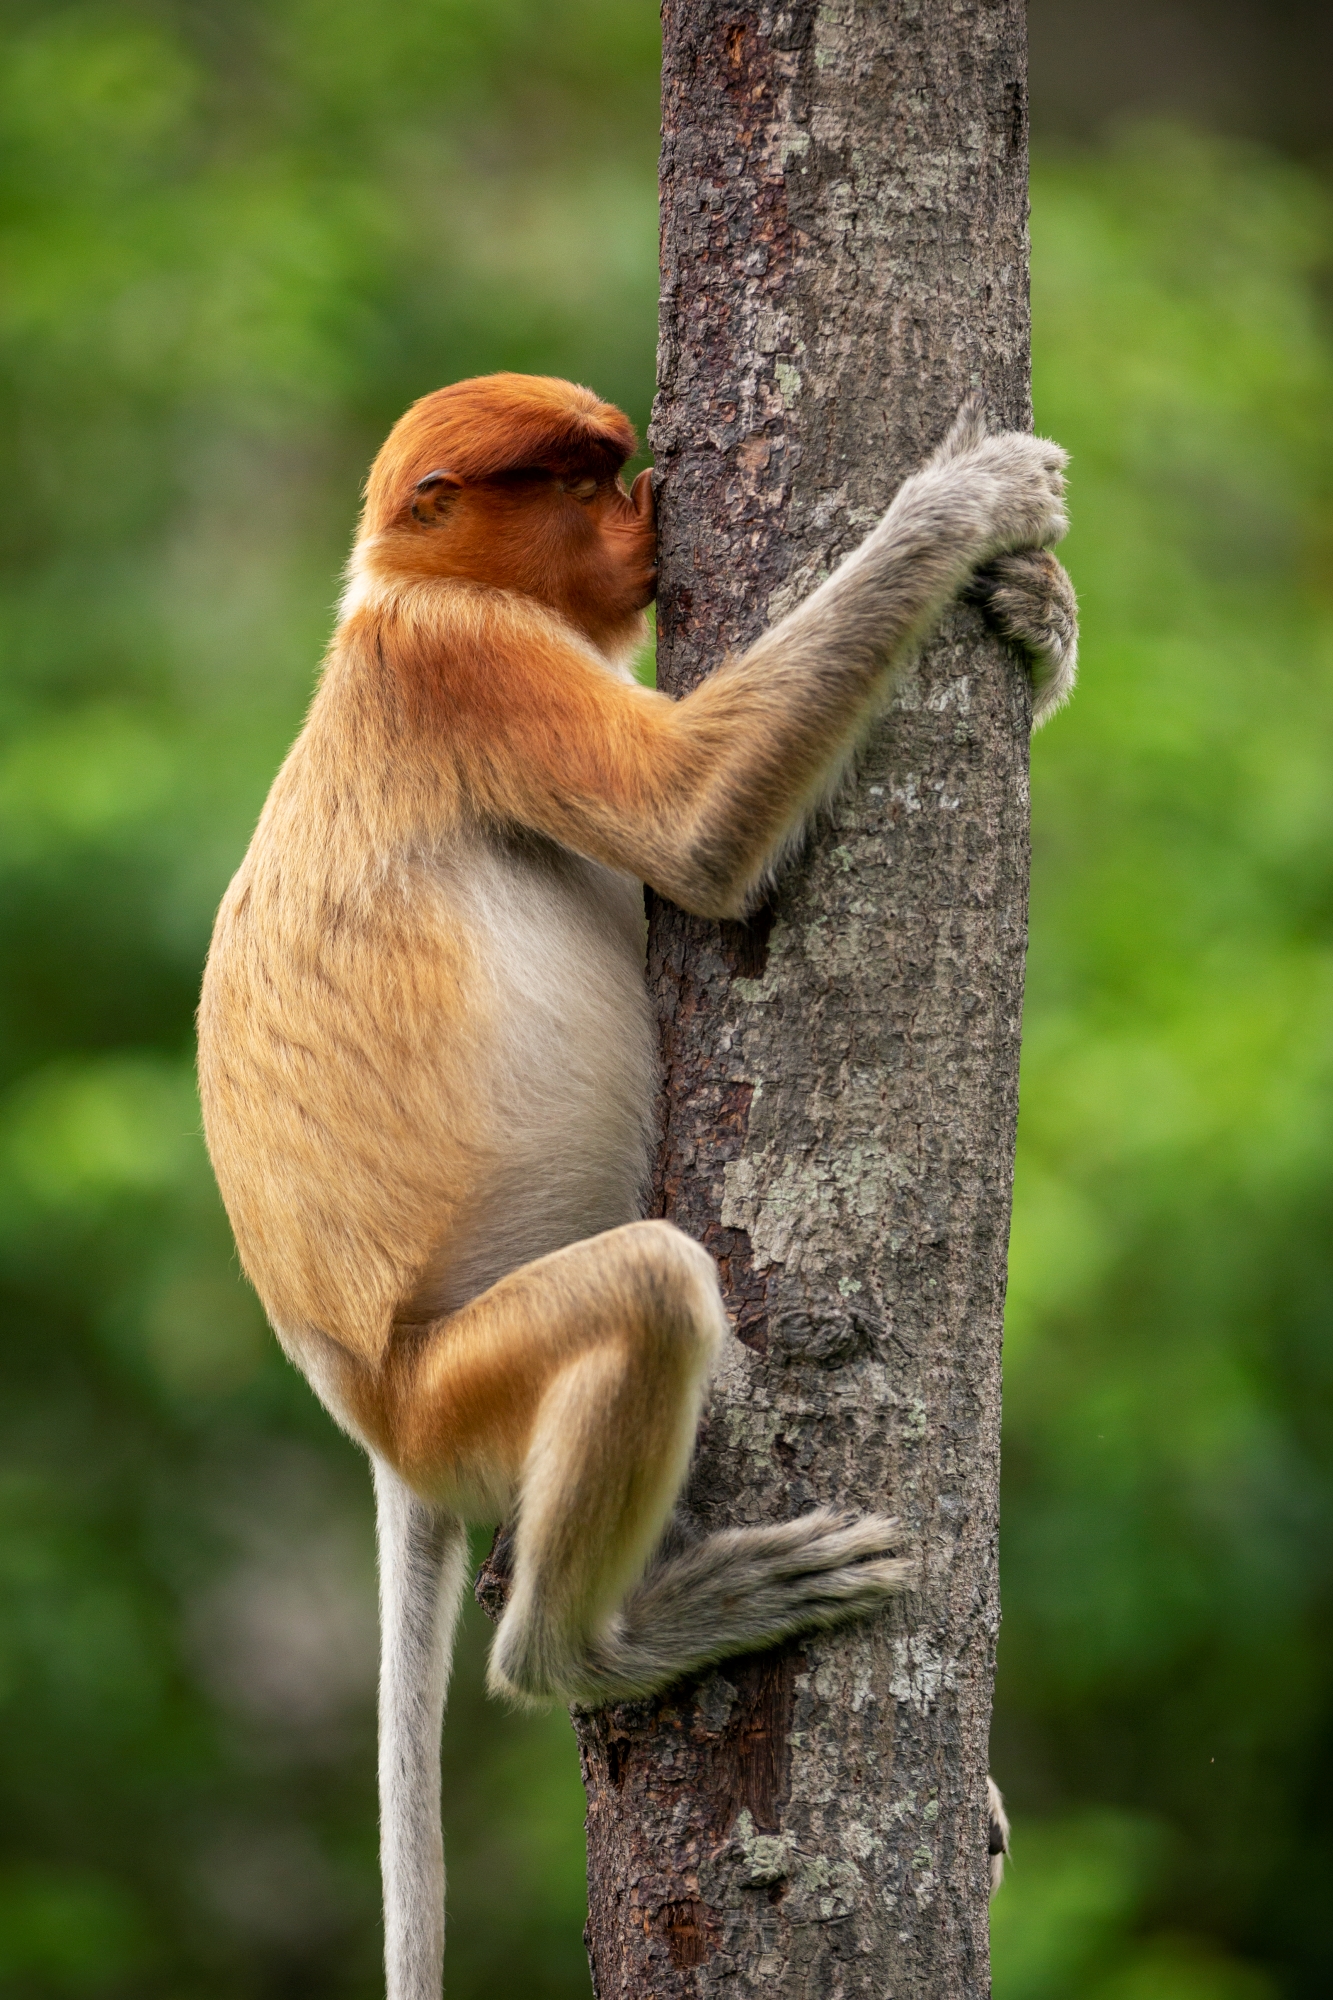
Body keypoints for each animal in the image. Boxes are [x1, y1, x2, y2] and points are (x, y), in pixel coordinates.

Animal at [196, 372, 1074, 1997]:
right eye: (577, 481)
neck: (398, 594)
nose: (650, 504)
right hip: (464, 1383)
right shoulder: (470, 663)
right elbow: (694, 826)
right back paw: (599, 1645)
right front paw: (972, 501)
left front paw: (1037, 613)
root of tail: (374, 1421)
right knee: (656, 1287)